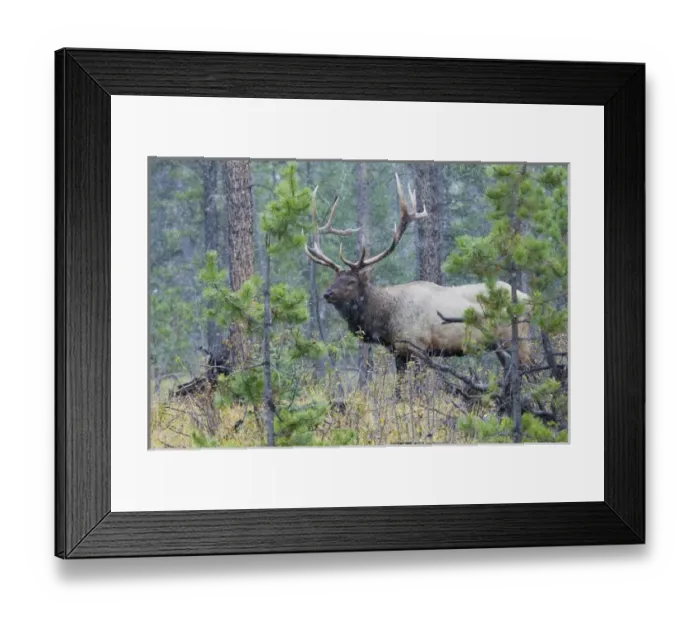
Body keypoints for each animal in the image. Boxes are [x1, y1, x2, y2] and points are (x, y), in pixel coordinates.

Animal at [304, 173, 532, 376]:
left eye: (351, 281)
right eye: (335, 278)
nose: (328, 294)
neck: (386, 320)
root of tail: (528, 298)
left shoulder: (418, 348)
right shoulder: (399, 352)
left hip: (517, 340)